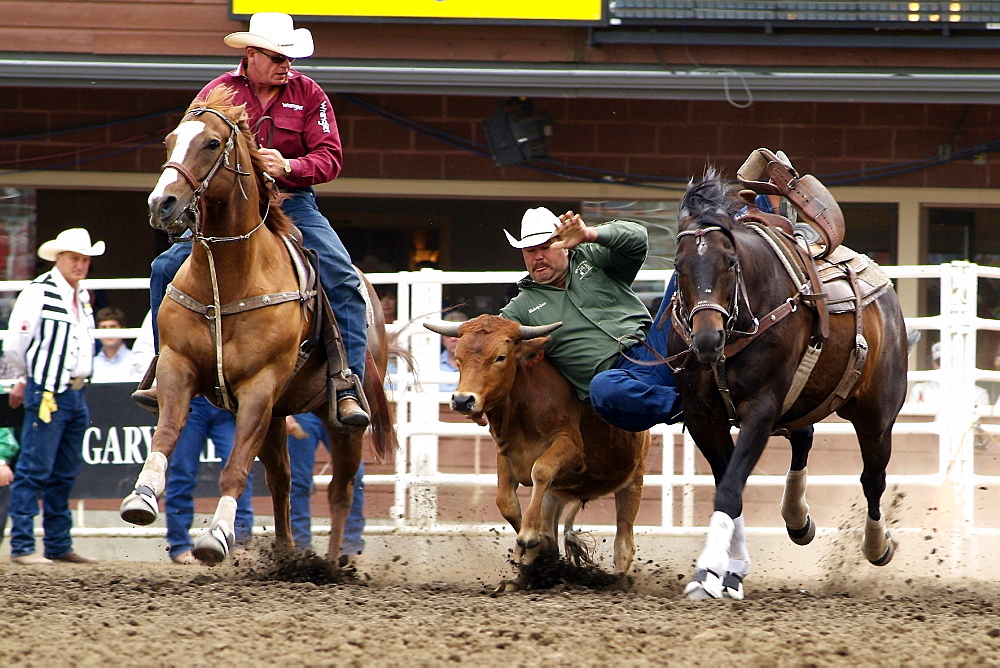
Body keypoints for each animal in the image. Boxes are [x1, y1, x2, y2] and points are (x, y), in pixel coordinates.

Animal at [120, 85, 394, 564]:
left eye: (212, 143)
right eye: (170, 142)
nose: (162, 204)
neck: (228, 278)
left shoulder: (259, 386)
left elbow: (234, 469)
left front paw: (215, 537)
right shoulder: (178, 366)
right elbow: (167, 434)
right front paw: (142, 497)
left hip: (339, 422)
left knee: (340, 490)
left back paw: (332, 563)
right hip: (278, 413)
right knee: (281, 481)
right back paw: (285, 556)